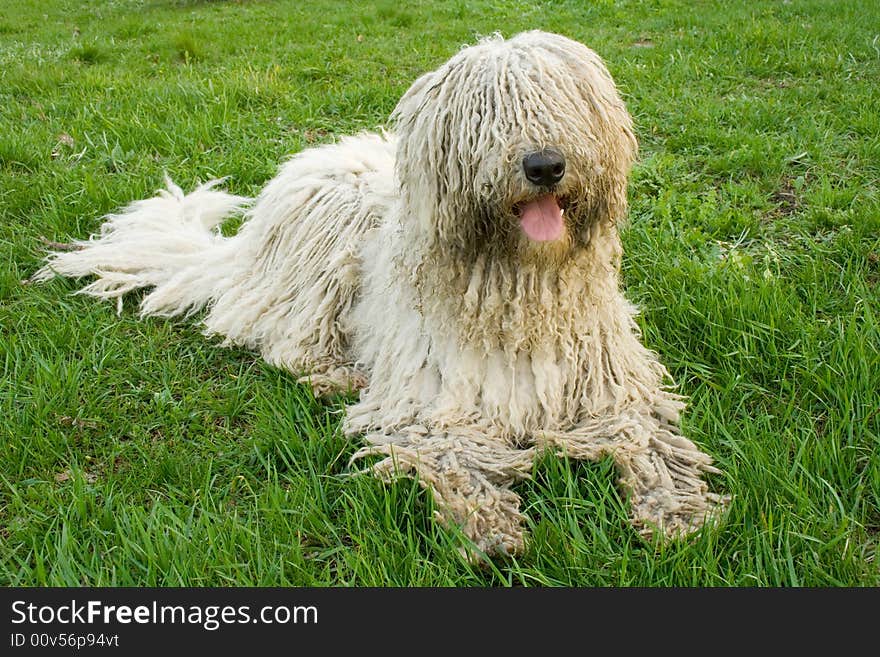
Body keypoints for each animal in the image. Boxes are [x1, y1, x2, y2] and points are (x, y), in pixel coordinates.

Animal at [34, 30, 724, 552]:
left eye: (562, 100)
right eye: (487, 115)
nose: (545, 165)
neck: (516, 285)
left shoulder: (609, 393)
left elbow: (646, 438)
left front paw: (677, 510)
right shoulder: (430, 404)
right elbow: (447, 452)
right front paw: (488, 525)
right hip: (320, 264)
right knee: (280, 339)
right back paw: (333, 374)